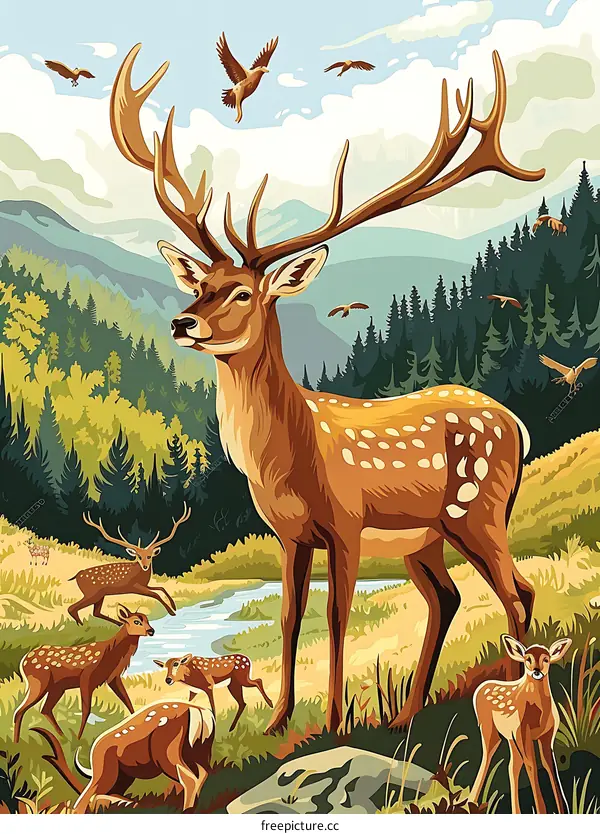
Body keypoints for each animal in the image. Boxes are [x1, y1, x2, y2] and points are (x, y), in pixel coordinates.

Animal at [13, 606, 155, 742]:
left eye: (147, 620)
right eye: (136, 621)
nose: (151, 631)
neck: (109, 654)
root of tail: (23, 662)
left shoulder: (113, 678)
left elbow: (128, 701)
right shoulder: (86, 677)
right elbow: (86, 710)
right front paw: (79, 737)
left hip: (57, 687)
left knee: (45, 709)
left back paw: (63, 737)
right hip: (39, 682)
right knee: (19, 711)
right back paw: (17, 742)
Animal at [33, 698, 214, 813]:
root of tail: (199, 712)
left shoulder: (107, 771)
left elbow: (88, 796)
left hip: (166, 750)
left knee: (189, 777)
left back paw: (187, 810)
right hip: (200, 750)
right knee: (203, 773)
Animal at [110, 44, 545, 734]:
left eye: (242, 292)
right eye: (201, 283)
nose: (182, 323)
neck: (289, 461)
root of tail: (518, 424)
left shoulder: (345, 521)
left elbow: (338, 618)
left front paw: (336, 721)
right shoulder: (288, 535)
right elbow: (292, 618)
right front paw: (279, 723)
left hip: (477, 509)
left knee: (517, 590)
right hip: (427, 540)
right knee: (447, 597)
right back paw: (405, 714)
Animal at [470, 634, 571, 814]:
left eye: (546, 659)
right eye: (527, 658)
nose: (537, 671)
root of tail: (479, 688)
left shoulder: (548, 735)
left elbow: (549, 765)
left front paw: (563, 809)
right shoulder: (523, 733)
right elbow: (532, 766)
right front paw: (541, 811)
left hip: (510, 737)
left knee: (512, 767)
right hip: (489, 728)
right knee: (488, 755)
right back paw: (469, 803)